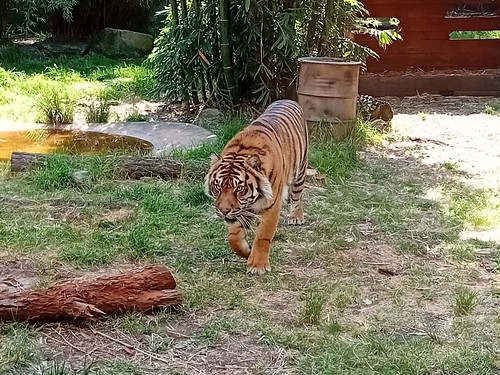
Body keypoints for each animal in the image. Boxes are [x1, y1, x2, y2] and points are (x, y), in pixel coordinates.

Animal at [204, 99, 308, 276]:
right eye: (218, 186)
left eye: (239, 189)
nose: (224, 211)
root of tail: (288, 99)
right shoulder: (238, 213)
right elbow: (233, 238)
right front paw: (247, 252)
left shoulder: (272, 206)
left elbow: (263, 236)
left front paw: (258, 265)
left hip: (300, 169)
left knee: (297, 195)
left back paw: (296, 216)